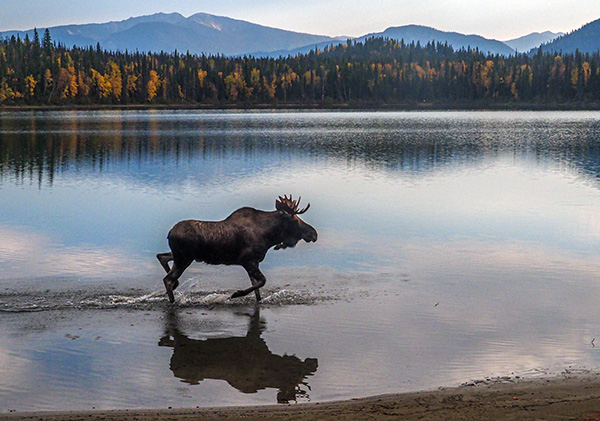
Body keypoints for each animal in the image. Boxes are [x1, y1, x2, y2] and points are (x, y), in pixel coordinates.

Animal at [156, 194, 318, 302]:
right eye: (294, 220)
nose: (314, 233)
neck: (269, 237)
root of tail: (169, 233)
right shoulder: (247, 260)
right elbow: (262, 281)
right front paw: (236, 294)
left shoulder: (254, 262)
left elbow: (257, 289)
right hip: (184, 258)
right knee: (167, 279)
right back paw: (173, 300)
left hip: (181, 256)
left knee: (162, 257)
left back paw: (175, 286)